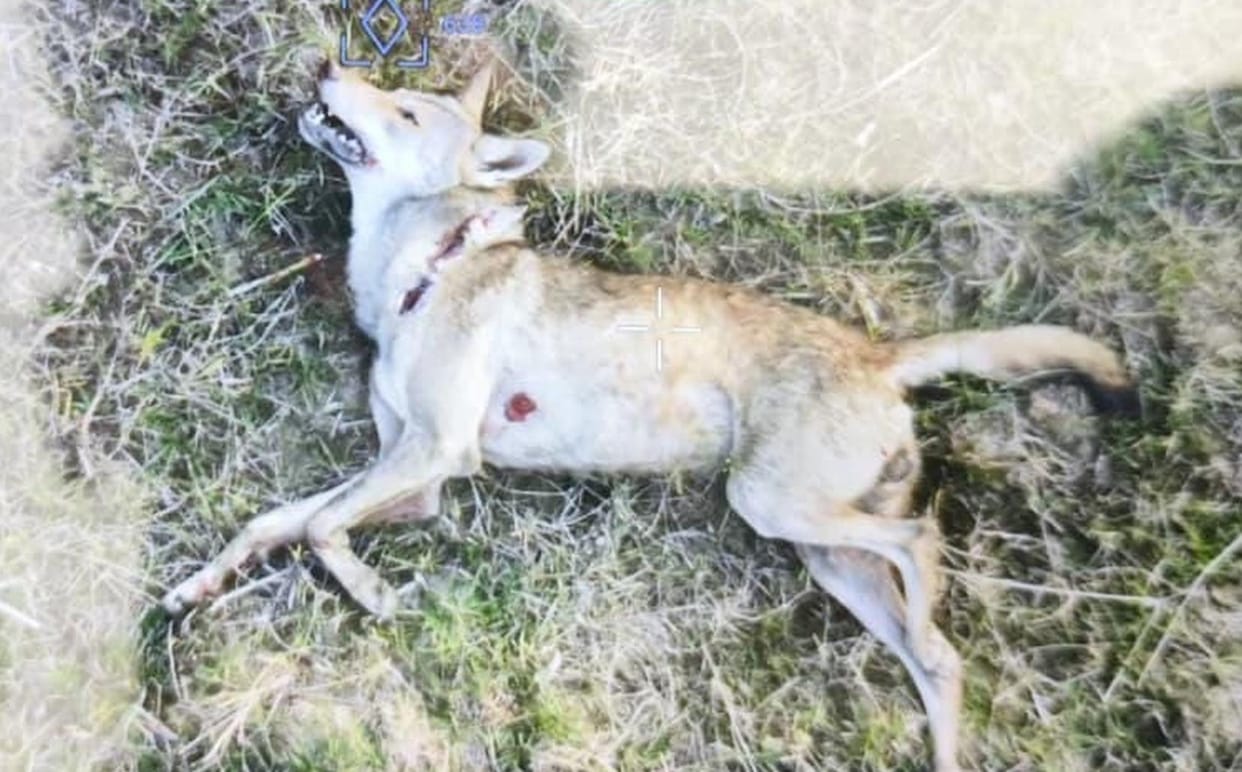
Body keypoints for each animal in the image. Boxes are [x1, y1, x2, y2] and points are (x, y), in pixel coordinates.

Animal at [162, 60, 1139, 771]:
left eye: (404, 112)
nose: (327, 63)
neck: (427, 269)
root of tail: (878, 354)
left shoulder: (435, 458)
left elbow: (319, 528)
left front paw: (368, 591)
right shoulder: (409, 474)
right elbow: (276, 520)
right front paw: (200, 586)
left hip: (776, 508)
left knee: (923, 545)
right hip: (827, 558)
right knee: (937, 656)